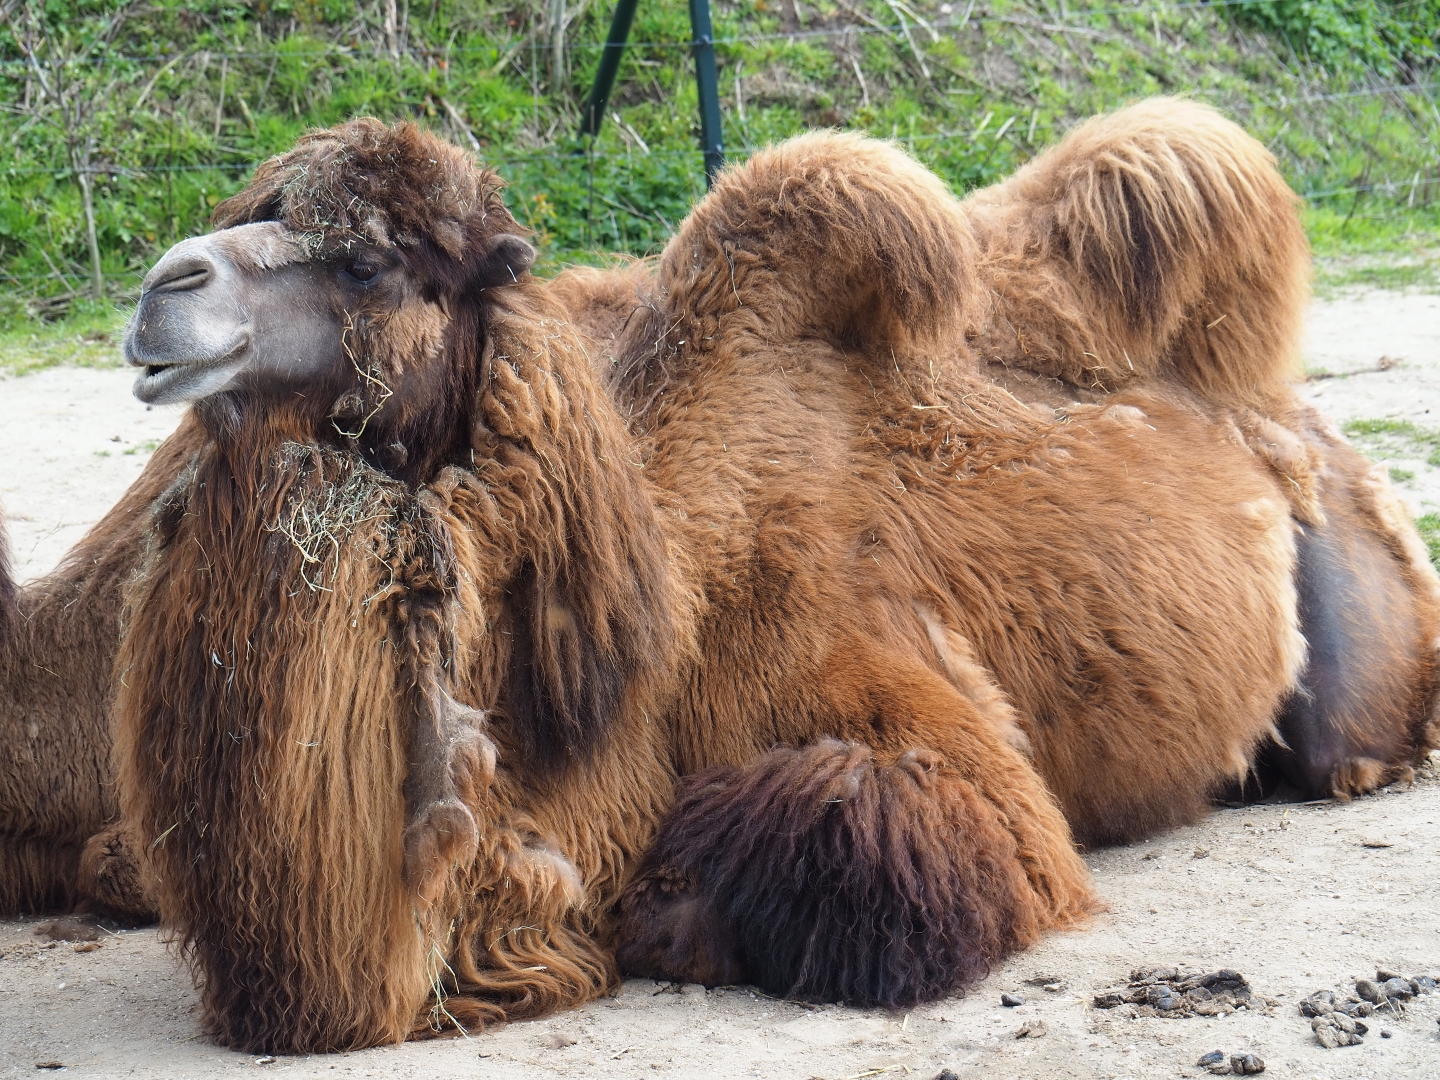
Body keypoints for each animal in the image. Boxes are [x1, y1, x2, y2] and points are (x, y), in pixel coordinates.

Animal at [87, 103, 1434, 1054]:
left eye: (368, 263)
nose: (163, 292)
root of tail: (1276, 409)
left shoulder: (911, 723)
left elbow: (834, 843)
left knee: (1340, 744)